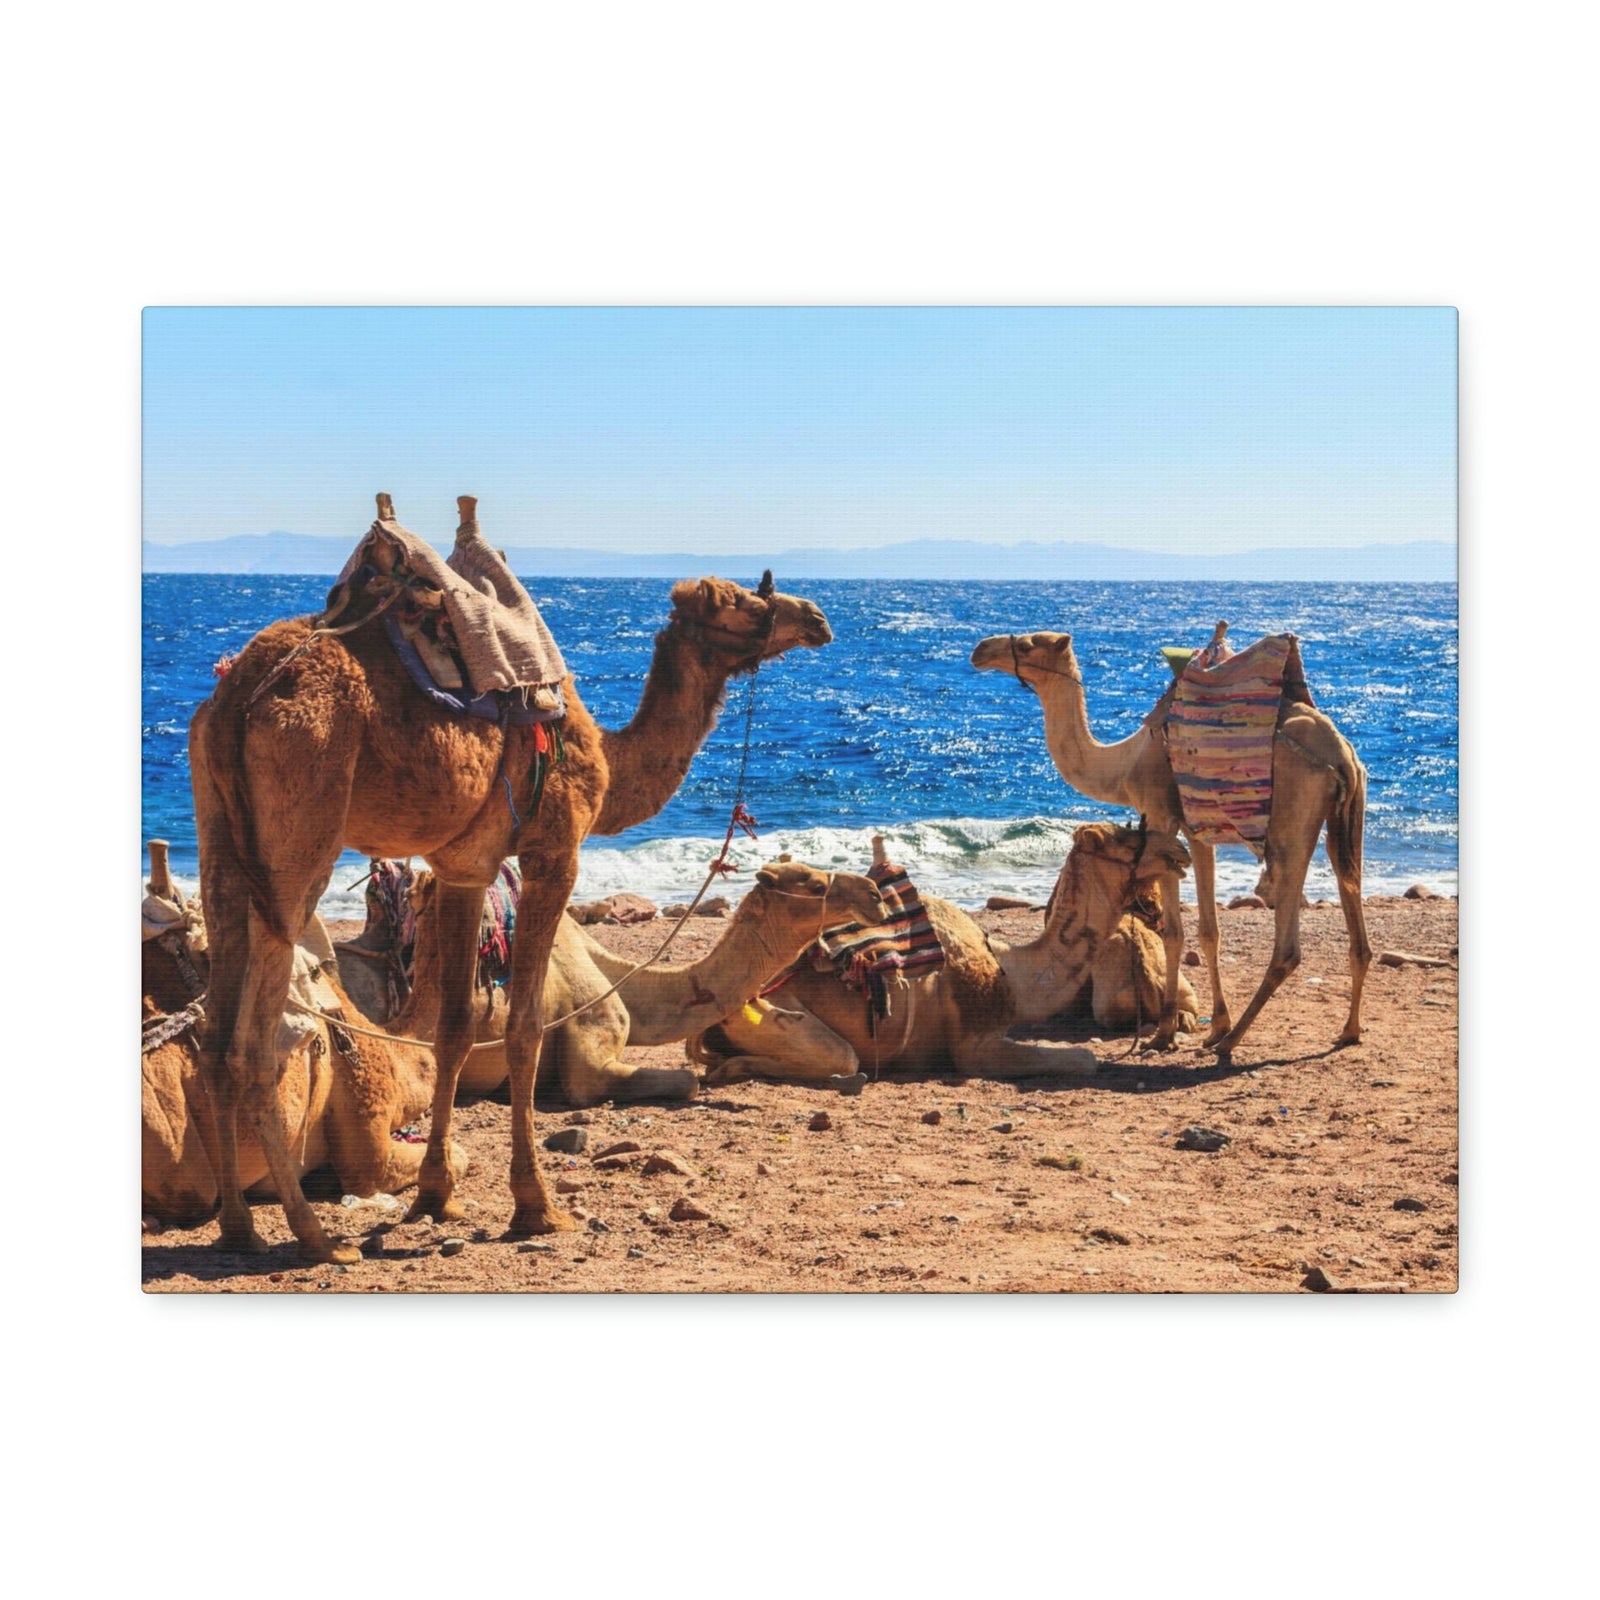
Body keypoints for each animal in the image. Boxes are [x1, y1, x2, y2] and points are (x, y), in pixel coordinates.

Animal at [188, 493, 831, 1261]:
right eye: (739, 600)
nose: (815, 617)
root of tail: (240, 698)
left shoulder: (462, 867)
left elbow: (456, 1029)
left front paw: (437, 1197)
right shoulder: (555, 848)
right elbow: (524, 1027)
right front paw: (537, 1207)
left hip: (219, 839)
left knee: (216, 1035)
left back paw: (239, 1228)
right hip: (298, 835)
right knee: (256, 1042)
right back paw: (315, 1237)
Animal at [686, 822, 1194, 1085]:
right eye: (1127, 837)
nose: (1181, 850)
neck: (1012, 971)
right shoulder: (975, 1046)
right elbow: (1085, 1059)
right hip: (771, 1010)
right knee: (840, 1058)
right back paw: (733, 1070)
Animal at [970, 628, 1371, 1059]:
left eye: (1028, 643)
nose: (981, 650)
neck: (1122, 765)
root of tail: (1342, 754)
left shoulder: (1161, 816)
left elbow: (1174, 932)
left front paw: (1164, 1034)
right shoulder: (1198, 830)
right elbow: (1210, 931)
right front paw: (1214, 1025)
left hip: (1291, 820)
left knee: (1287, 942)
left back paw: (1231, 1042)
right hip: (1345, 819)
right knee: (1353, 907)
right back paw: (1347, 1031)